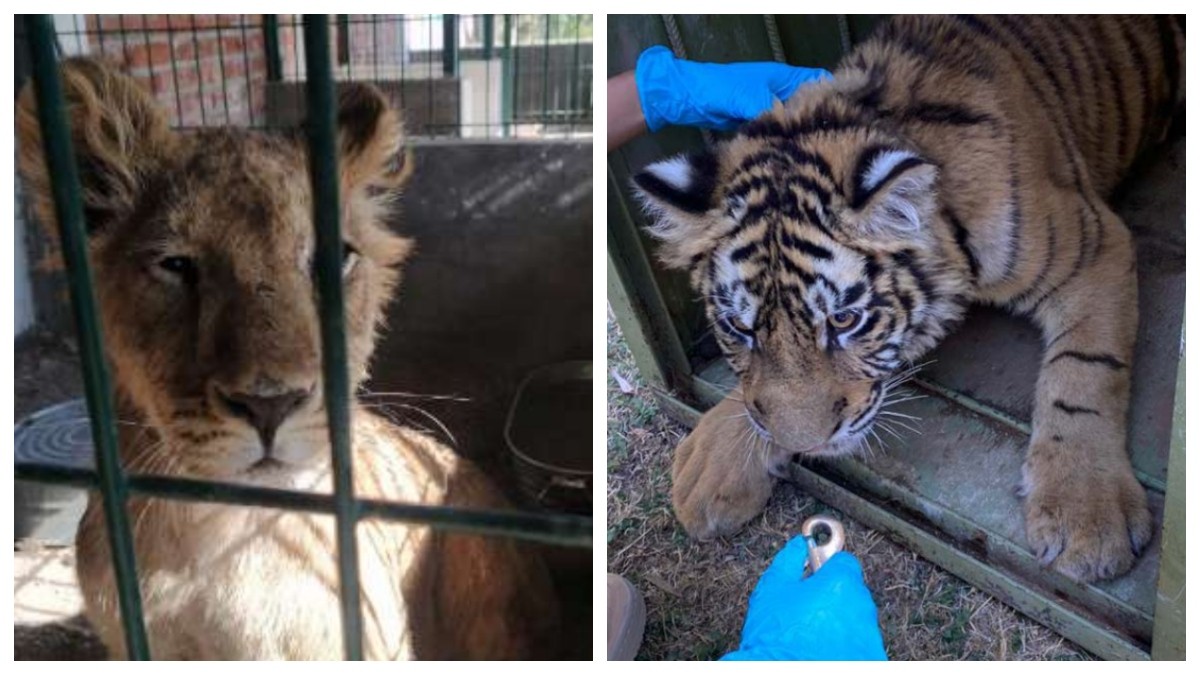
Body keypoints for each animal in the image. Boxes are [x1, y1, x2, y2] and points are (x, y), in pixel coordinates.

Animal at [632, 15, 1184, 583]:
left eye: (844, 320)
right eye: (740, 329)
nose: (807, 444)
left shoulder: (1092, 246)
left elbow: (1083, 374)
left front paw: (1086, 513)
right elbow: (751, 395)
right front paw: (709, 464)